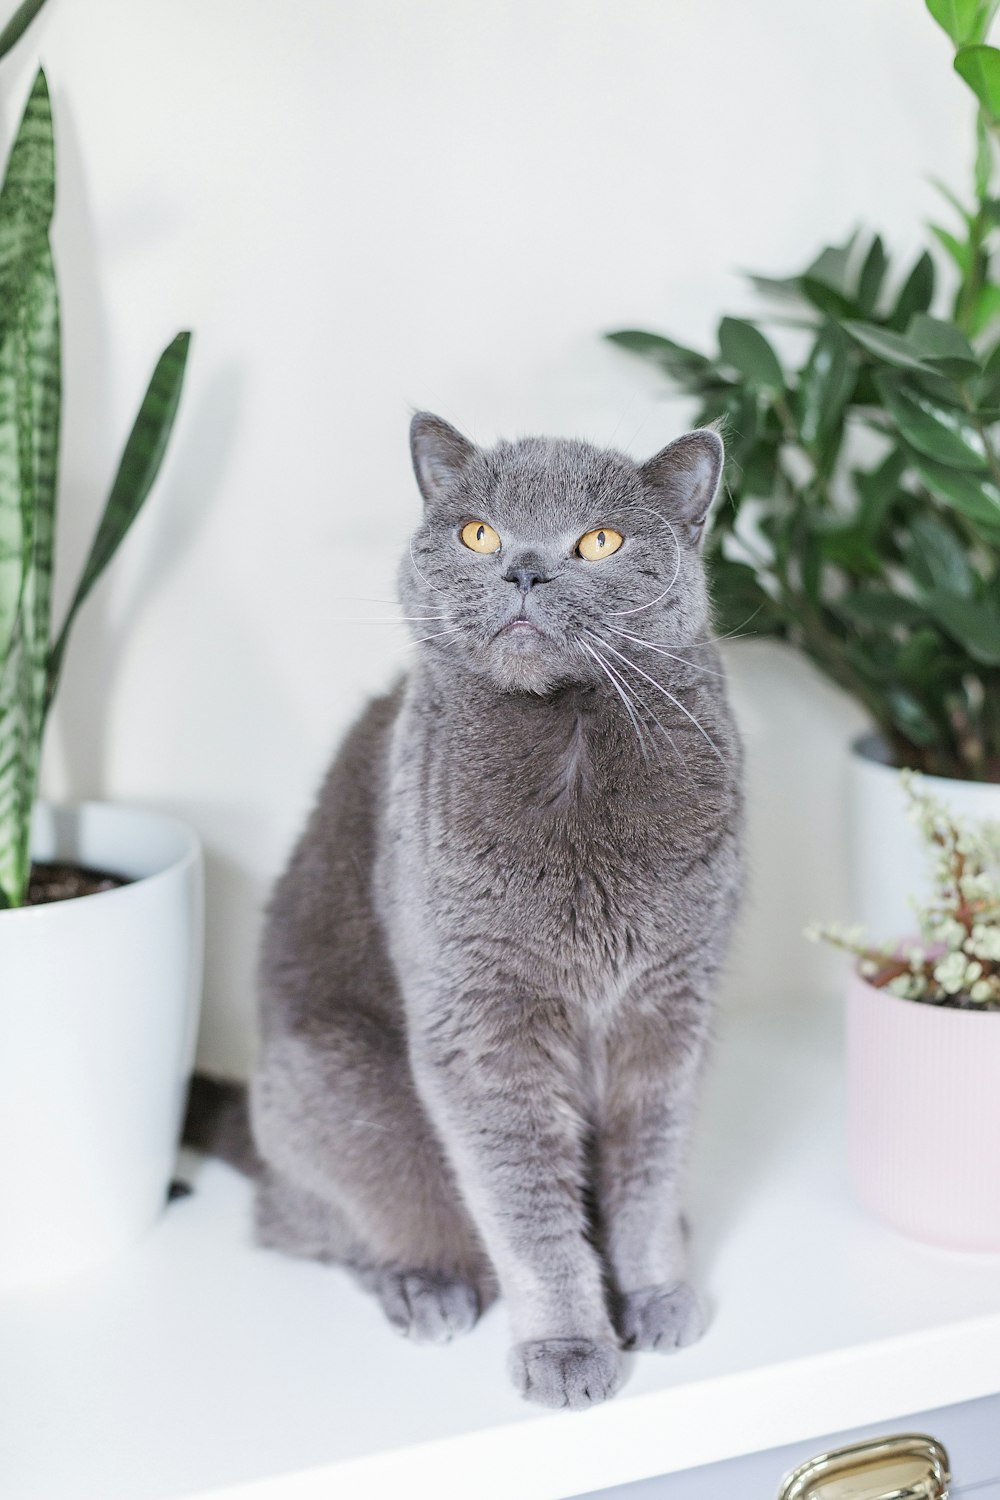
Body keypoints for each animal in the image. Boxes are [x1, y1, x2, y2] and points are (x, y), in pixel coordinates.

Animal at [248, 411, 743, 1404]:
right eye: (478, 533)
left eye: (601, 541)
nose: (523, 569)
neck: (572, 741)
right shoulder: (482, 1023)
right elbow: (527, 1209)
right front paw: (569, 1348)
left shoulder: (673, 1003)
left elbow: (649, 1167)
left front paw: (656, 1293)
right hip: (326, 1083)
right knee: (320, 1228)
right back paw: (423, 1286)